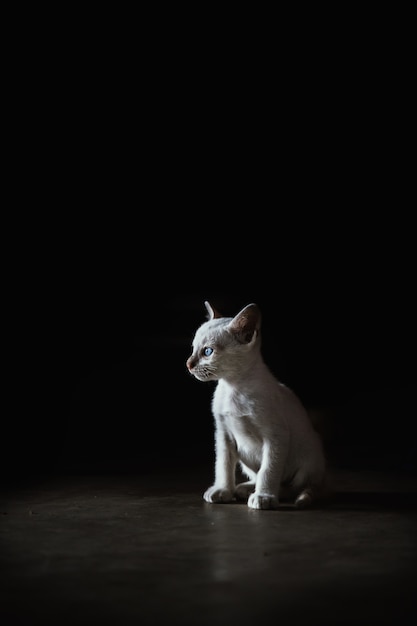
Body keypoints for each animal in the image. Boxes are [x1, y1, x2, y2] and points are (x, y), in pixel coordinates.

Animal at [185, 298, 324, 508]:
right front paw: (223, 490)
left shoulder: (276, 436)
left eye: (207, 352)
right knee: (259, 475)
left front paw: (264, 497)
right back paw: (244, 489)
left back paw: (272, 493)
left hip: (307, 458)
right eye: (192, 349)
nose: (188, 364)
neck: (234, 387)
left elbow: (269, 470)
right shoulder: (223, 434)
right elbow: (223, 465)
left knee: (295, 486)